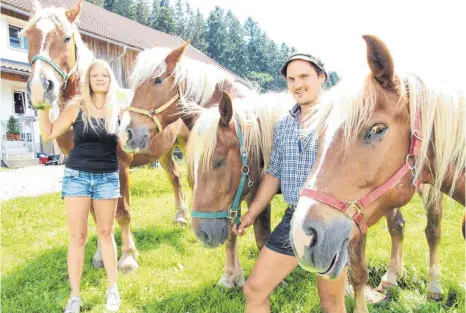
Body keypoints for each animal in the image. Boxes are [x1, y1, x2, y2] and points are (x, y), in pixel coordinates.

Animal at [290, 33, 464, 310]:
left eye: (377, 129)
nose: (302, 238)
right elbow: (358, 271)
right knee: (398, 226)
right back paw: (391, 278)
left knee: (433, 230)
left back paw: (434, 286)